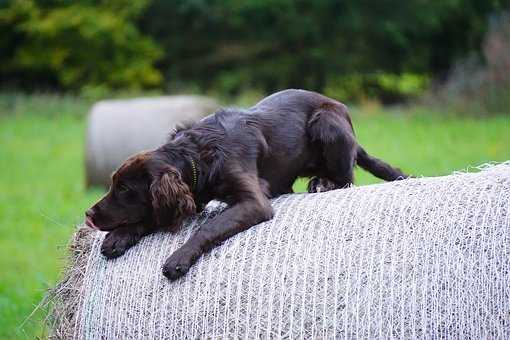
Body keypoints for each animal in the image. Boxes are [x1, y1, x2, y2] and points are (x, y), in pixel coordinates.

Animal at [85, 89, 408, 280]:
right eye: (113, 183)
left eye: (125, 189)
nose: (88, 215)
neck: (198, 153)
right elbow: (151, 216)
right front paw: (119, 237)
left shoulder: (254, 201)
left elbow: (208, 227)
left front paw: (179, 258)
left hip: (326, 123)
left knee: (346, 179)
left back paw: (323, 183)